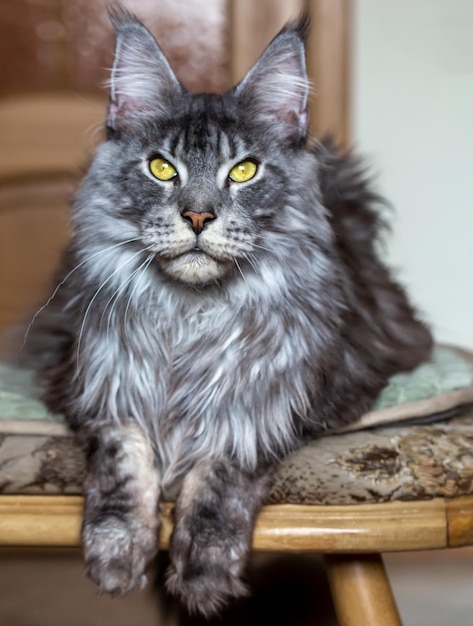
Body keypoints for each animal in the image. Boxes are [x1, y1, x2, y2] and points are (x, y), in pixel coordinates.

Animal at [24, 7, 432, 616]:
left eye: (243, 172)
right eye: (160, 168)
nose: (197, 216)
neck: (190, 317)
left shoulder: (275, 404)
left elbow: (222, 474)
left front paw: (203, 576)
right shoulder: (95, 386)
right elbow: (124, 462)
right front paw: (117, 558)